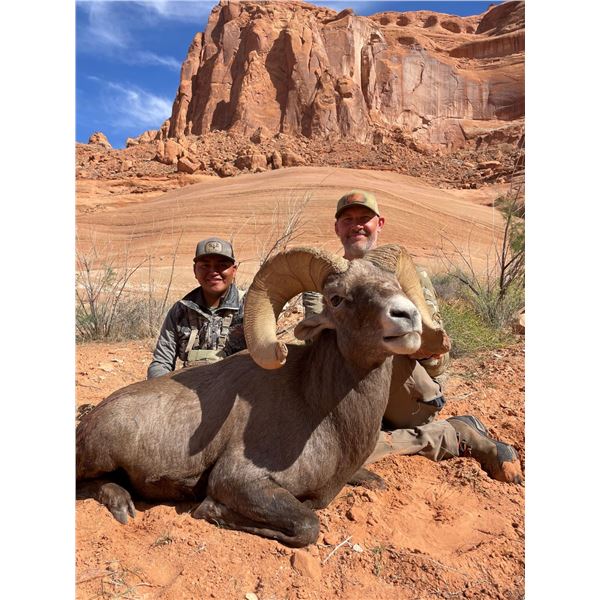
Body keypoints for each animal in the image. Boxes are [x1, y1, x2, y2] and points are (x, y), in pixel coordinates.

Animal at [76, 244, 446, 547]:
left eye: (397, 286)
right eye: (337, 298)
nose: (406, 316)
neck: (323, 415)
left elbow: (373, 482)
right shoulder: (240, 481)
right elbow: (308, 524)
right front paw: (211, 511)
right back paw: (122, 504)